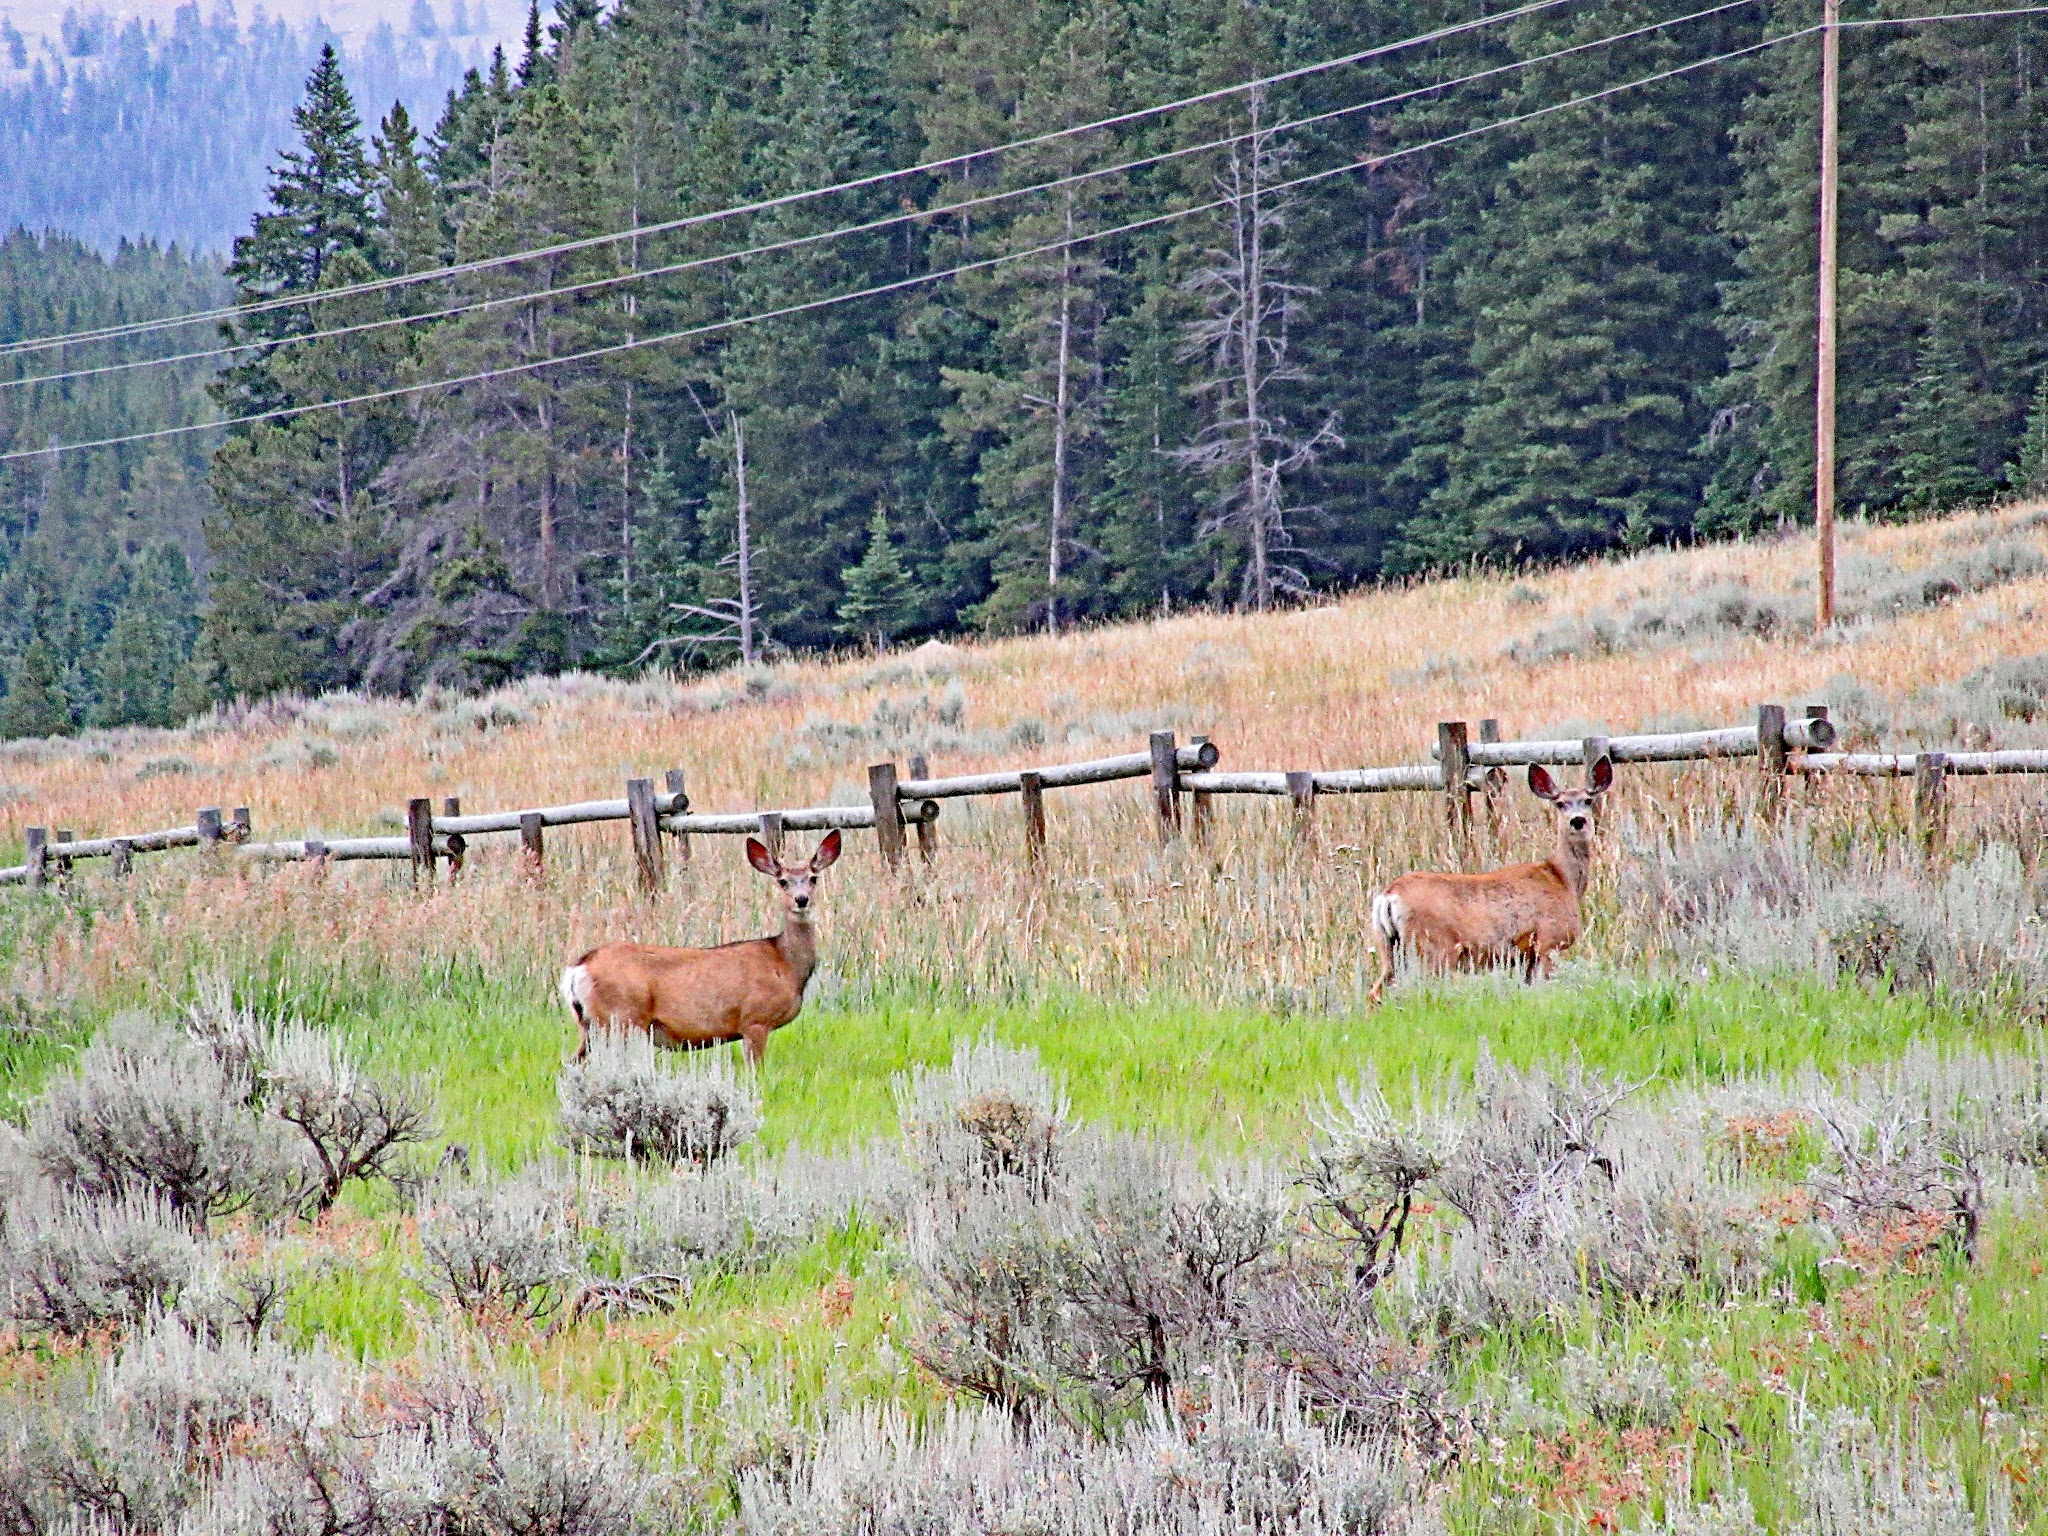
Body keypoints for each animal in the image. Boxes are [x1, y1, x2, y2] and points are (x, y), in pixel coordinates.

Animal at [559, 830, 842, 1066]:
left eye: (813, 878)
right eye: (782, 881)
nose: (801, 899)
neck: (785, 963)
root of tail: (580, 966)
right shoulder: (755, 1020)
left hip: (590, 1025)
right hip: (620, 1018)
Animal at [1367, 756, 1612, 1006]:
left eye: (1588, 800)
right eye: (1560, 803)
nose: (1577, 820)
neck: (1563, 879)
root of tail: (1388, 895)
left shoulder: (1527, 954)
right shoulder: (1550, 940)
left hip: (1389, 945)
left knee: (1375, 992)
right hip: (1434, 947)